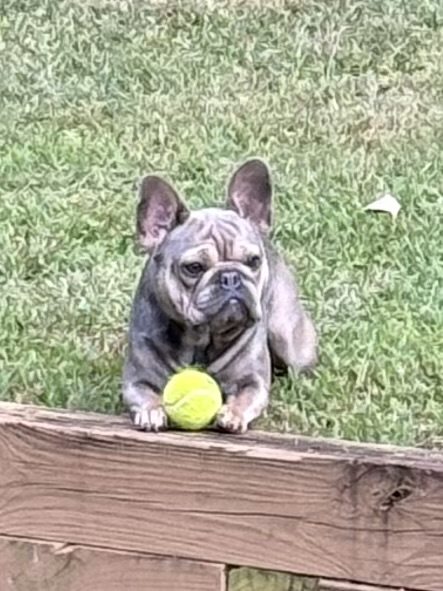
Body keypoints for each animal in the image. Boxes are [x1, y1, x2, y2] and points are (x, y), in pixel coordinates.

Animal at [122, 159, 317, 434]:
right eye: (194, 267)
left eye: (253, 261)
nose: (230, 277)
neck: (202, 338)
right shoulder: (136, 380)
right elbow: (143, 394)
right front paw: (151, 411)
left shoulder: (252, 381)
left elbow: (247, 396)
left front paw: (233, 414)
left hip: (286, 336)